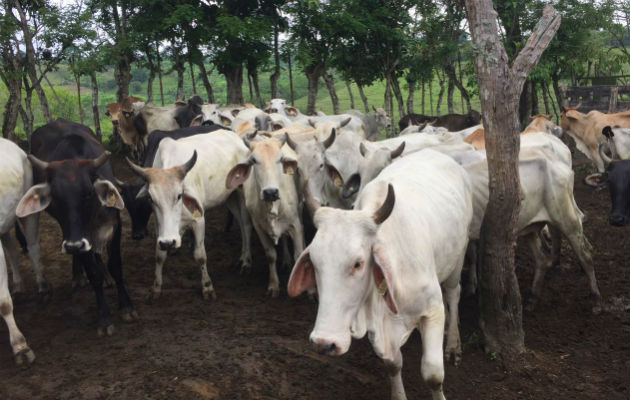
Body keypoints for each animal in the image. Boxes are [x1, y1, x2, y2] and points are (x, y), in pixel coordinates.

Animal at [16, 118, 136, 334]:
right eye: (55, 198)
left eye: (88, 193)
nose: (73, 245)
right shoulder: (79, 238)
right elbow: (93, 274)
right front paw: (104, 318)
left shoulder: (115, 226)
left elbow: (116, 266)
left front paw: (126, 307)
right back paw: (78, 275)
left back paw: (105, 277)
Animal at [127, 131, 253, 300]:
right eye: (151, 198)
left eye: (179, 195)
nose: (169, 242)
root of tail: (235, 136)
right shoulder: (161, 227)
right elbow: (159, 255)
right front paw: (156, 288)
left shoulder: (198, 220)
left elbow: (200, 255)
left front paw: (207, 287)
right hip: (229, 197)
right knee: (239, 221)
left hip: (241, 192)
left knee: (246, 225)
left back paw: (246, 262)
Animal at [228, 136, 304, 296]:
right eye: (254, 160)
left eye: (280, 159)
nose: (270, 192)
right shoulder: (259, 227)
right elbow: (271, 255)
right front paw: (273, 286)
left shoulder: (295, 224)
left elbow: (299, 254)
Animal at [288, 149, 472, 400]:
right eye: (314, 262)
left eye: (358, 264)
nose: (324, 343)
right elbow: (393, 364)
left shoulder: (433, 309)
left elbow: (433, 375)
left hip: (459, 254)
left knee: (454, 293)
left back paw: (453, 343)